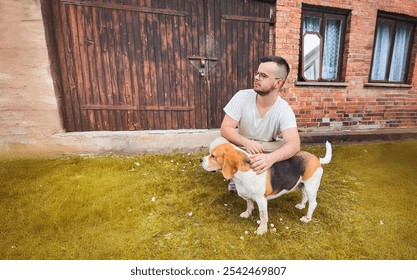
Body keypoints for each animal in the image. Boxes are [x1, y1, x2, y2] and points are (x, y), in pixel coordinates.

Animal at [199, 141, 332, 235]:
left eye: (213, 156)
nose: (200, 160)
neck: (244, 172)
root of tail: (316, 158)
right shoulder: (249, 196)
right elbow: (249, 205)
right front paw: (247, 213)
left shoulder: (261, 200)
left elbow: (263, 216)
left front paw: (262, 230)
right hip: (302, 185)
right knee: (304, 196)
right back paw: (301, 205)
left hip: (311, 187)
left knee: (313, 203)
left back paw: (307, 218)